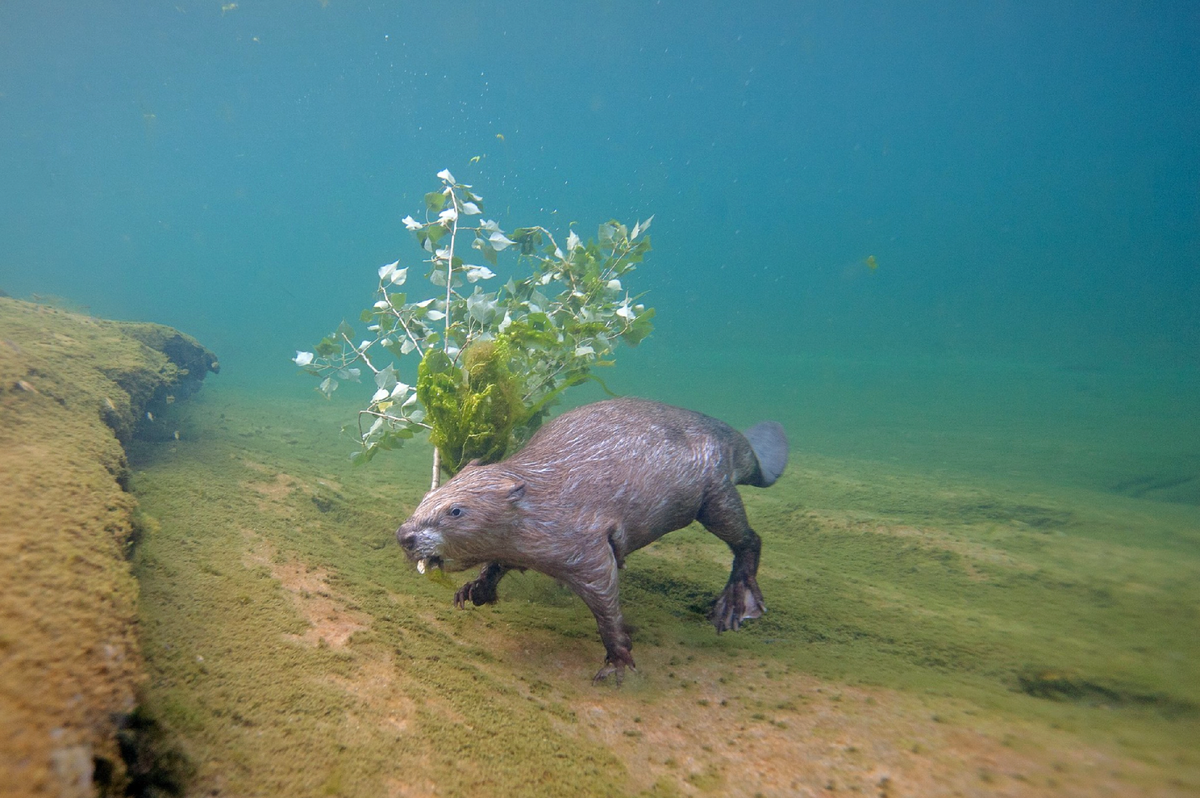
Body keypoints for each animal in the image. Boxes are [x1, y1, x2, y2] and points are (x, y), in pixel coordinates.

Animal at [393, 396, 787, 681]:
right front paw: (472, 592)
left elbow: (605, 597)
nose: (404, 535)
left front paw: (617, 662)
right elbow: (499, 562)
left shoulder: (584, 543)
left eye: (455, 511)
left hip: (714, 494)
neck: (543, 493)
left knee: (748, 539)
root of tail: (744, 444)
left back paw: (735, 607)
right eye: (428, 495)